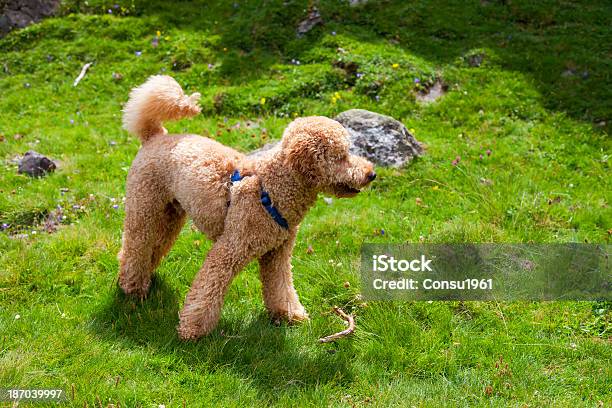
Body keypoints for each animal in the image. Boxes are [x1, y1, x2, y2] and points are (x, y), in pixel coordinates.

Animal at [117, 75, 376, 340]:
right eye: (341, 156)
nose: (371, 174)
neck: (274, 186)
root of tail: (155, 135)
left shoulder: (278, 253)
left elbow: (281, 287)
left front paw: (289, 314)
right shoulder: (230, 249)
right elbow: (208, 290)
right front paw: (193, 329)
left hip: (170, 215)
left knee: (151, 246)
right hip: (144, 206)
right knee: (135, 245)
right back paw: (132, 287)